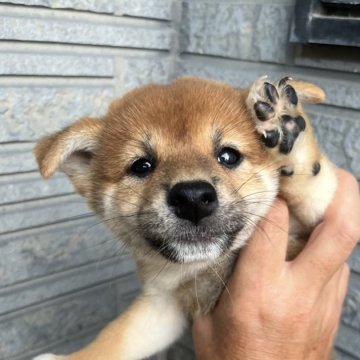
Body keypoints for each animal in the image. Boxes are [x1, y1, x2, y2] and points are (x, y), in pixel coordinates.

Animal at [32, 76, 336, 360]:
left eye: (228, 156)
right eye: (142, 166)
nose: (193, 198)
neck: (205, 269)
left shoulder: (310, 224)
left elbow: (317, 186)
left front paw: (287, 126)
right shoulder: (164, 306)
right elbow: (116, 337)